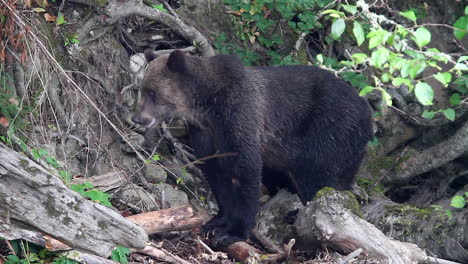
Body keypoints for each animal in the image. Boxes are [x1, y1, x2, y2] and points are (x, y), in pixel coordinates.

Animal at [132, 49, 372, 243]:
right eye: (142, 90)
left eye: (152, 92)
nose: (138, 118)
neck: (206, 105)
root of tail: (368, 117)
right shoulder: (206, 132)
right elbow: (216, 172)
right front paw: (216, 222)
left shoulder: (239, 115)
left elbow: (244, 169)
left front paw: (233, 232)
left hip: (329, 133)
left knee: (319, 182)